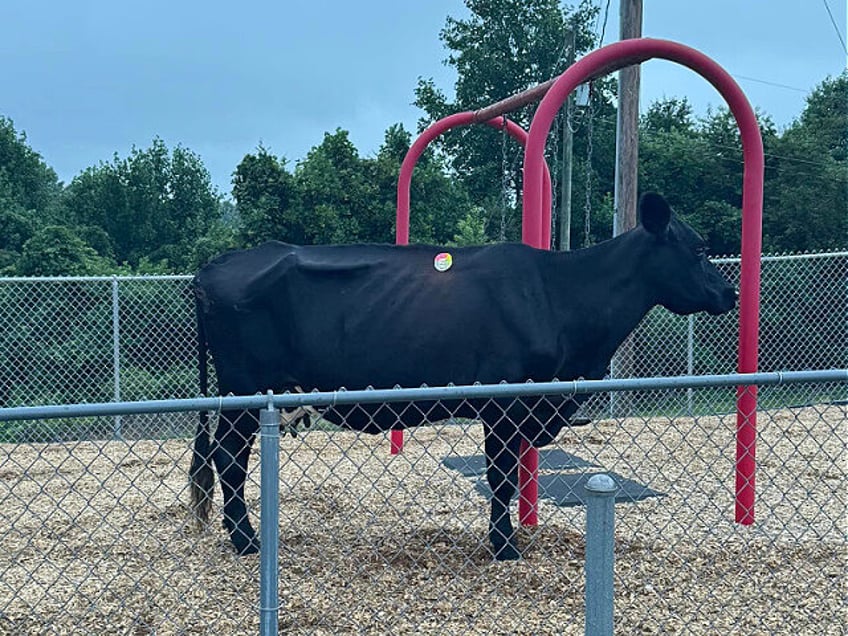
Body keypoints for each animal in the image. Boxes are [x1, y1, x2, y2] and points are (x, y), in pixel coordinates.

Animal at [189, 194, 732, 560]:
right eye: (699, 248)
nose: (728, 294)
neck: (558, 294)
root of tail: (216, 264)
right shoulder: (506, 403)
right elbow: (501, 478)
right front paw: (504, 546)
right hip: (243, 388)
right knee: (229, 460)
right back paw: (246, 540)